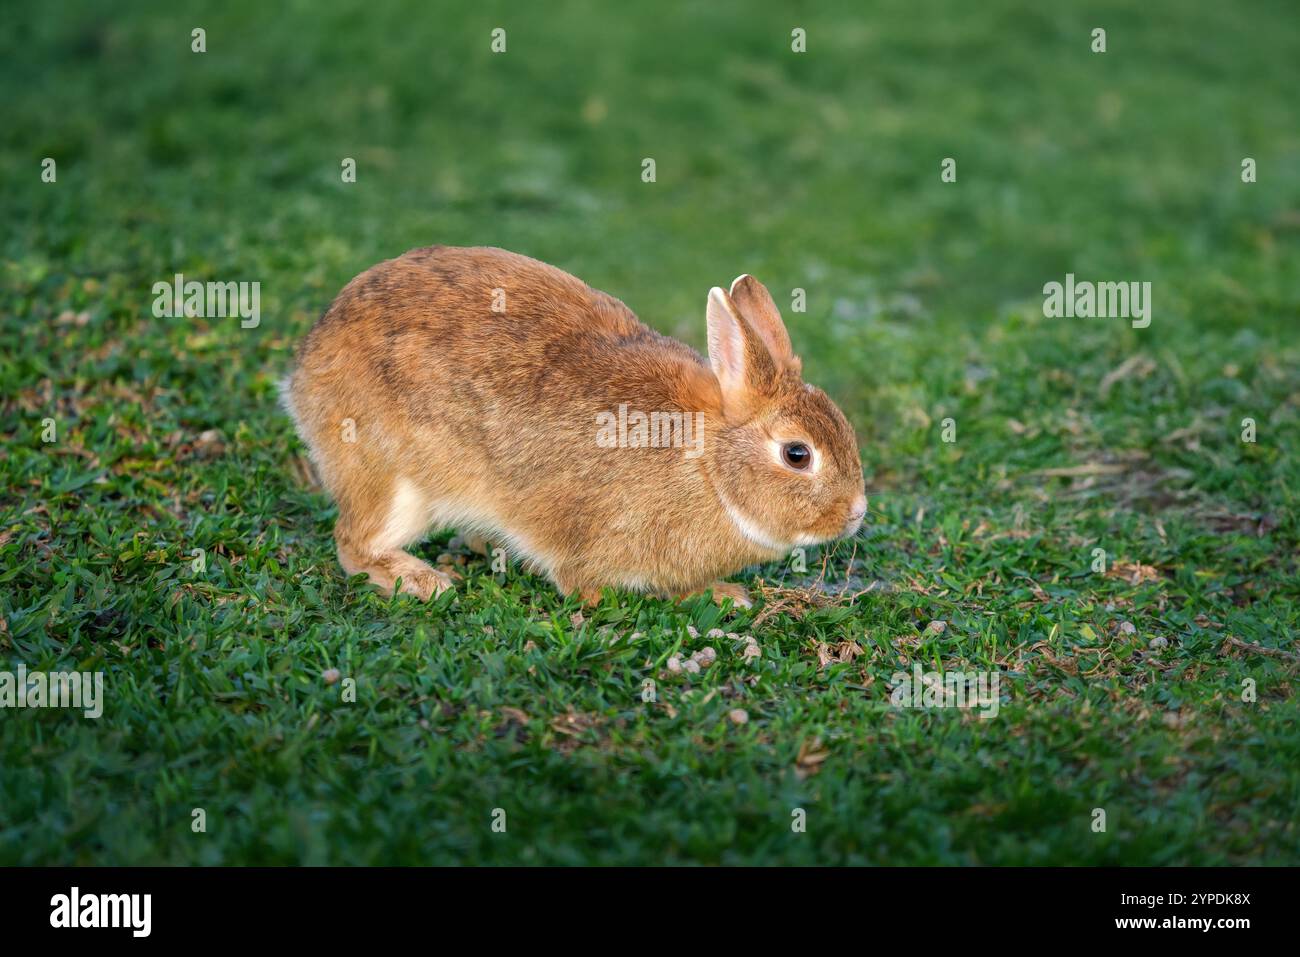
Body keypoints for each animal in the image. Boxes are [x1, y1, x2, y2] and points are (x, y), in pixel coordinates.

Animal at [286, 244, 873, 605]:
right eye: (797, 454)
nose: (856, 513)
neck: (707, 465)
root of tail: (307, 367)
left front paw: (722, 596)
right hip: (395, 483)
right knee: (353, 542)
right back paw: (422, 581)